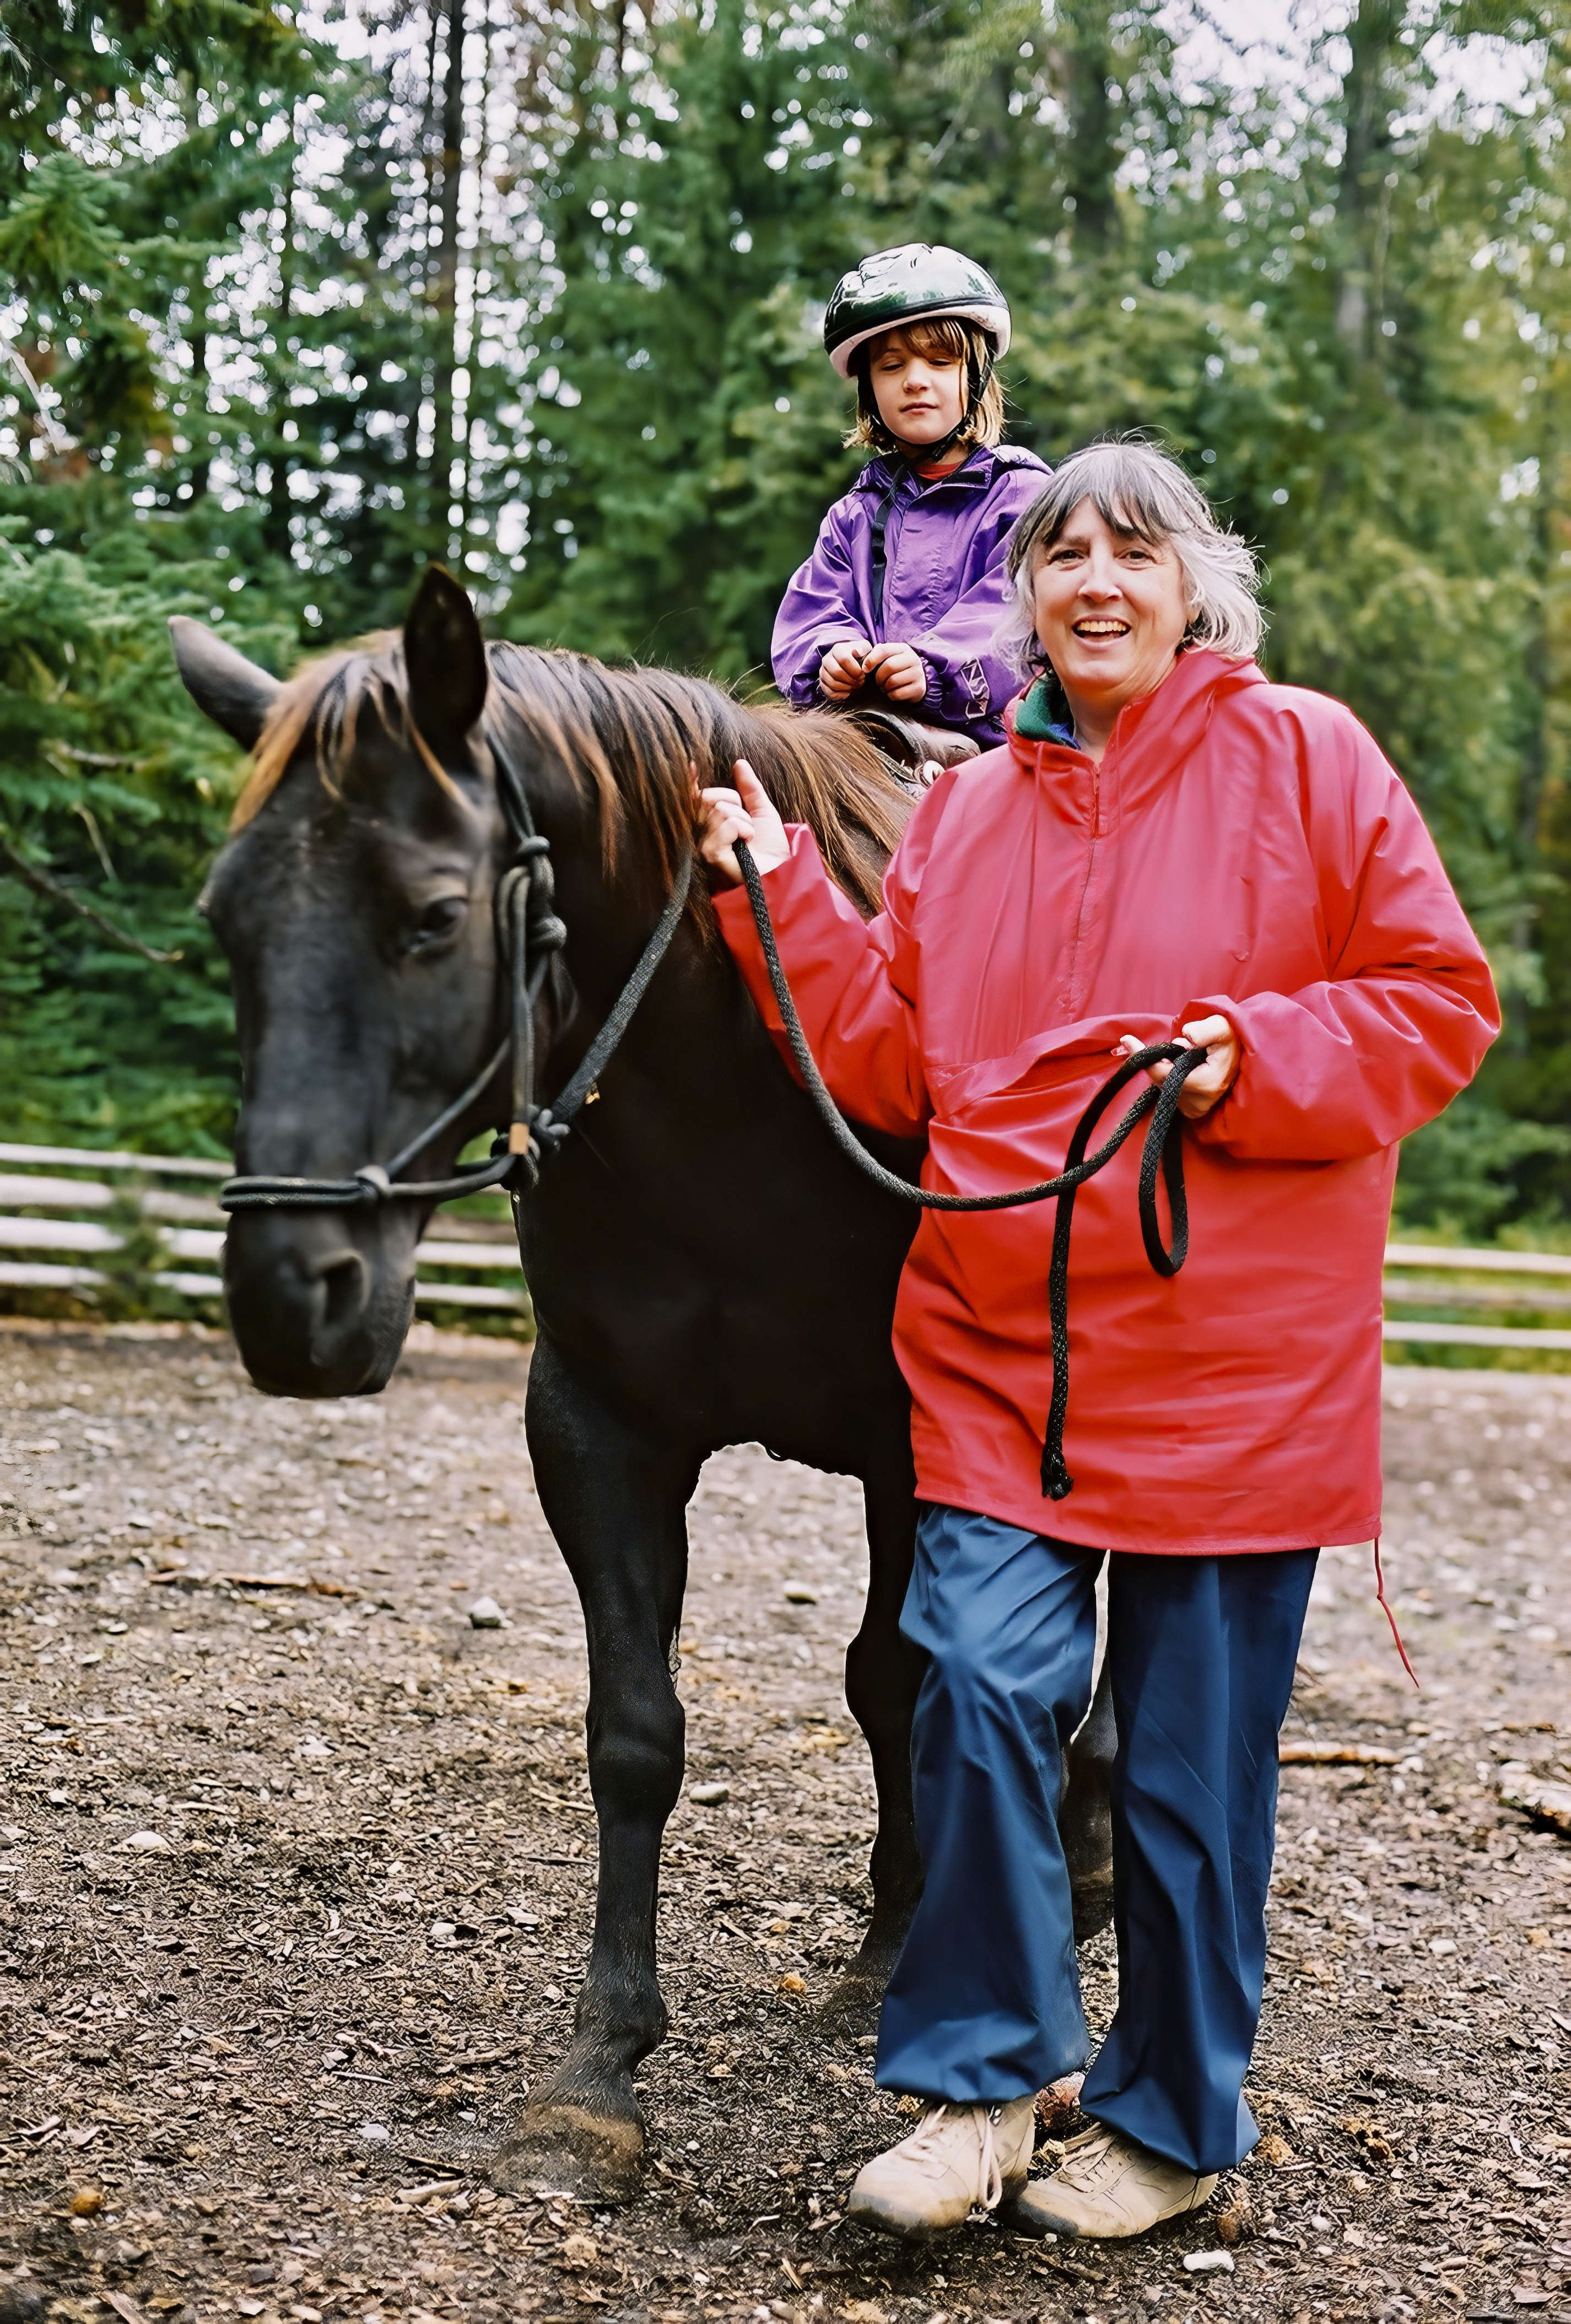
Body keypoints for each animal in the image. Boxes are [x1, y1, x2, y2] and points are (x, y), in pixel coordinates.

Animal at [170, 564, 1116, 2204]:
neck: (748, 1067)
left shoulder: (918, 1449)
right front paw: (603, 2063)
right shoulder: (597, 1433)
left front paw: (933, 1942)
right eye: (230, 922)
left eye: (431, 916)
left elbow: (913, 1678)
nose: (296, 1297)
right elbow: (638, 1731)